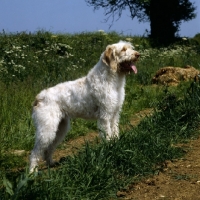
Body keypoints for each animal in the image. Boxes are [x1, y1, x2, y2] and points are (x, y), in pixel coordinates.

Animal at [29, 40, 139, 172]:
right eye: (123, 49)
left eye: (130, 47)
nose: (138, 55)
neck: (112, 79)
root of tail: (38, 97)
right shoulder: (105, 116)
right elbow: (107, 135)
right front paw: (110, 149)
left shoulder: (114, 114)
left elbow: (115, 132)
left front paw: (116, 145)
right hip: (47, 130)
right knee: (35, 152)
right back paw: (32, 172)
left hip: (60, 128)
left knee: (48, 149)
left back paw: (51, 163)